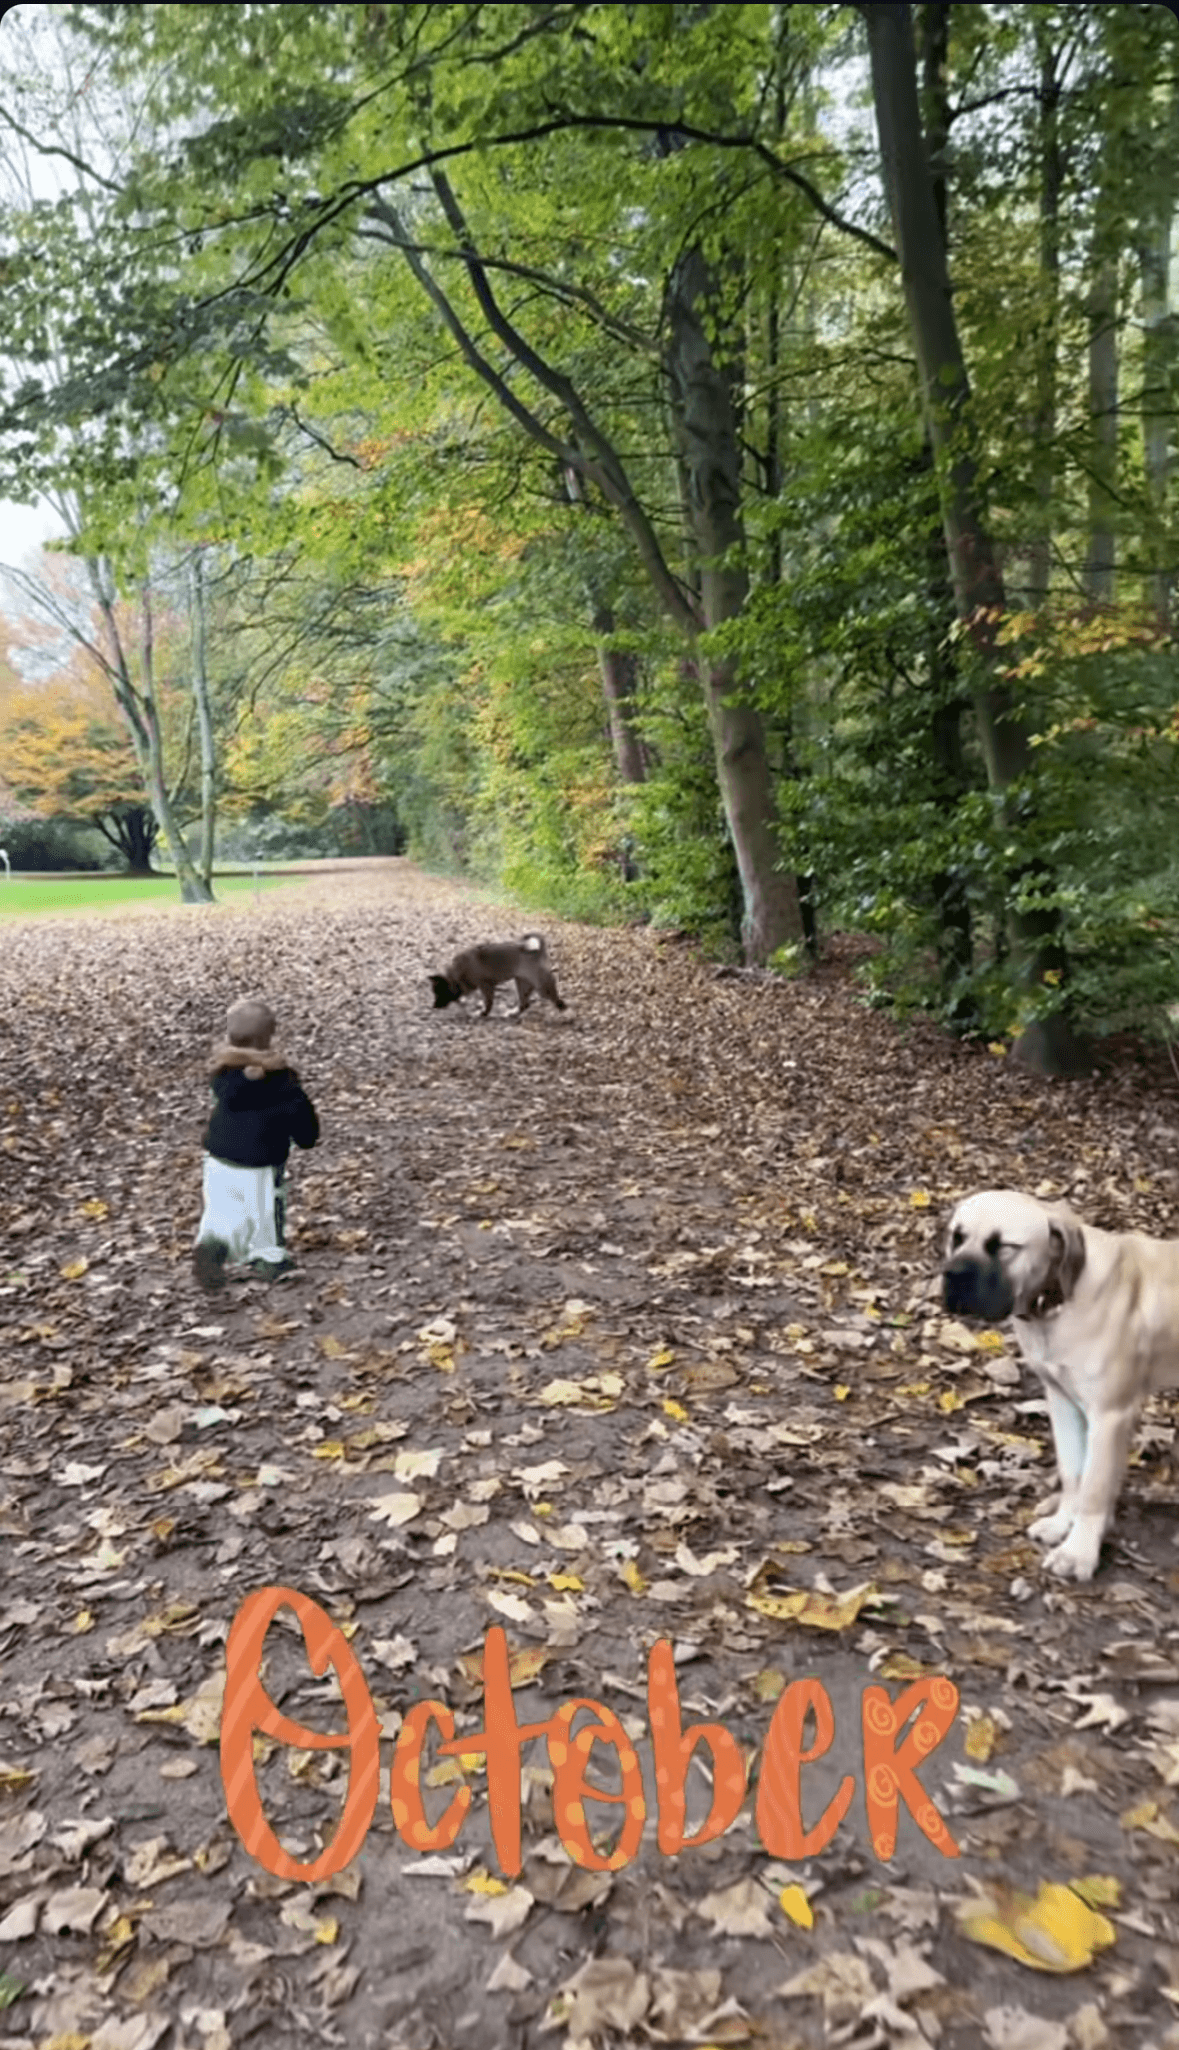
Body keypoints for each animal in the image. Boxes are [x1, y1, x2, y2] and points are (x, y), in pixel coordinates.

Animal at [428, 934, 565, 1020]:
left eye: (439, 993)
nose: (433, 1006)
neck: (456, 975)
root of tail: (536, 952)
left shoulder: (486, 986)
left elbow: (488, 1003)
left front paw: (483, 1013)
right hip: (522, 983)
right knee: (525, 1004)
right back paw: (513, 1014)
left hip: (542, 987)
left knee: (558, 1001)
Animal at [947, 1189, 1179, 1582]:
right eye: (957, 1237)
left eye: (1004, 1246)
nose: (952, 1275)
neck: (1057, 1301)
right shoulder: (1063, 1402)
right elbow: (1073, 1473)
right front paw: (1062, 1524)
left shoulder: (1110, 1415)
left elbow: (1094, 1488)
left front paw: (1078, 1553)